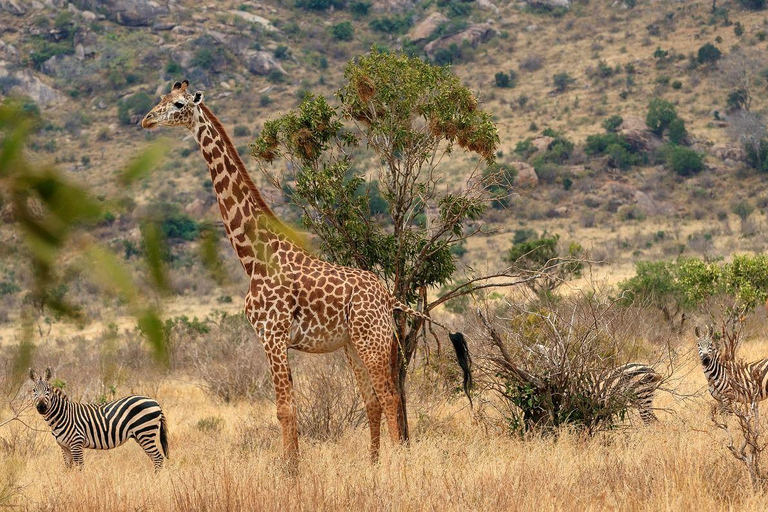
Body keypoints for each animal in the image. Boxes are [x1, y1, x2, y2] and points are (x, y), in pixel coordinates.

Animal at [29, 366, 170, 470]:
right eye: (34, 390)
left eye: (48, 390)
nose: (41, 407)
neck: (62, 416)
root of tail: (155, 402)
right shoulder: (64, 447)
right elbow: (68, 469)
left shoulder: (76, 443)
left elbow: (80, 468)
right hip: (141, 435)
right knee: (154, 458)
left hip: (145, 432)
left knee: (158, 458)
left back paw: (156, 480)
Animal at [141, 80, 472, 464]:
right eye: (161, 99)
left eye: (178, 104)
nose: (147, 120)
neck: (253, 258)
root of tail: (389, 296)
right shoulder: (274, 339)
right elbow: (289, 408)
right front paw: (293, 466)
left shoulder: (272, 335)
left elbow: (285, 409)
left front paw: (291, 471)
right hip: (352, 345)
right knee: (373, 400)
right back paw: (372, 464)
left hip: (372, 340)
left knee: (390, 395)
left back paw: (394, 463)